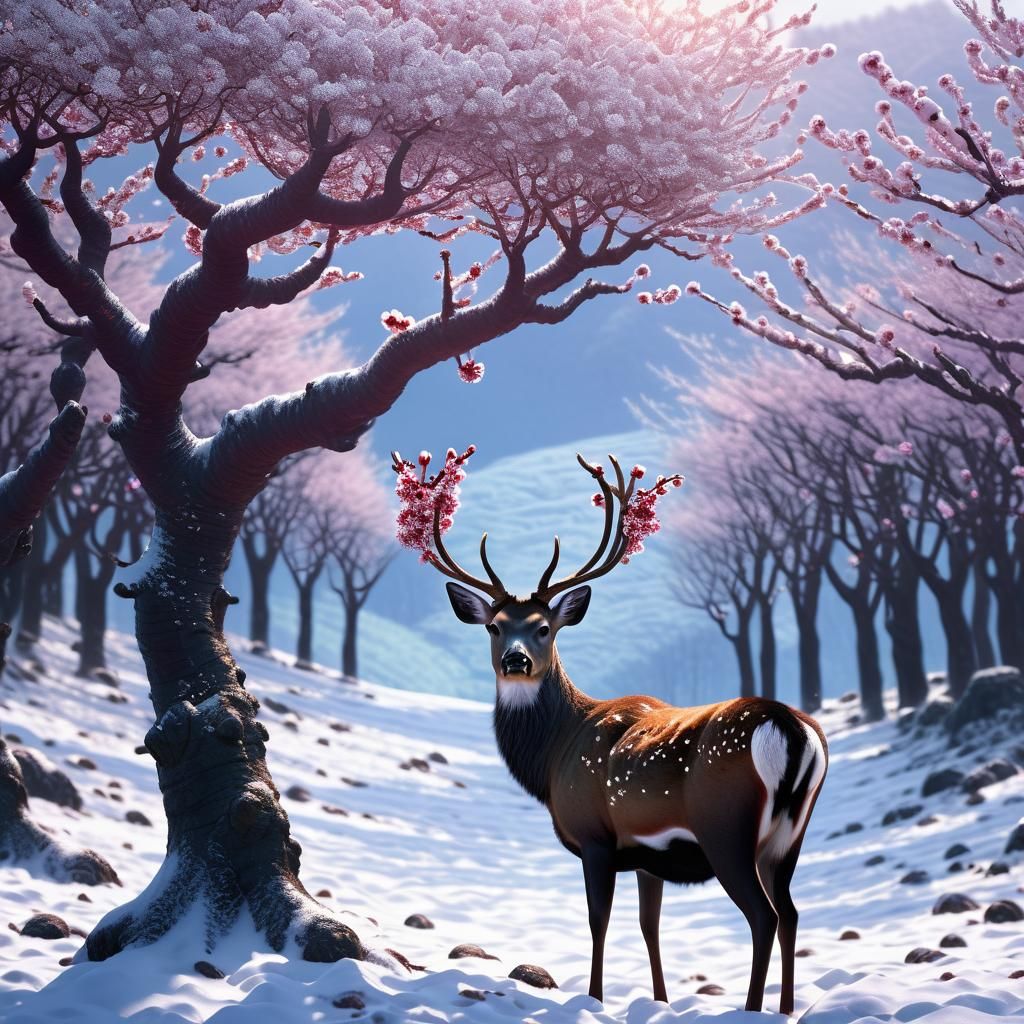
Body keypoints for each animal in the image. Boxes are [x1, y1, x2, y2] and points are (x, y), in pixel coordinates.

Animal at [414, 450, 828, 1015]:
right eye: (493, 626)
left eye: (544, 627)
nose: (516, 661)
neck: (554, 757)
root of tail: (787, 727)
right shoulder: (649, 854)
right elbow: (649, 926)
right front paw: (659, 1001)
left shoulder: (595, 834)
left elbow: (598, 920)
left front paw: (594, 998)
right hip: (790, 835)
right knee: (791, 913)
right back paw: (786, 1009)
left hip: (727, 826)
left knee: (764, 916)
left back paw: (752, 1009)